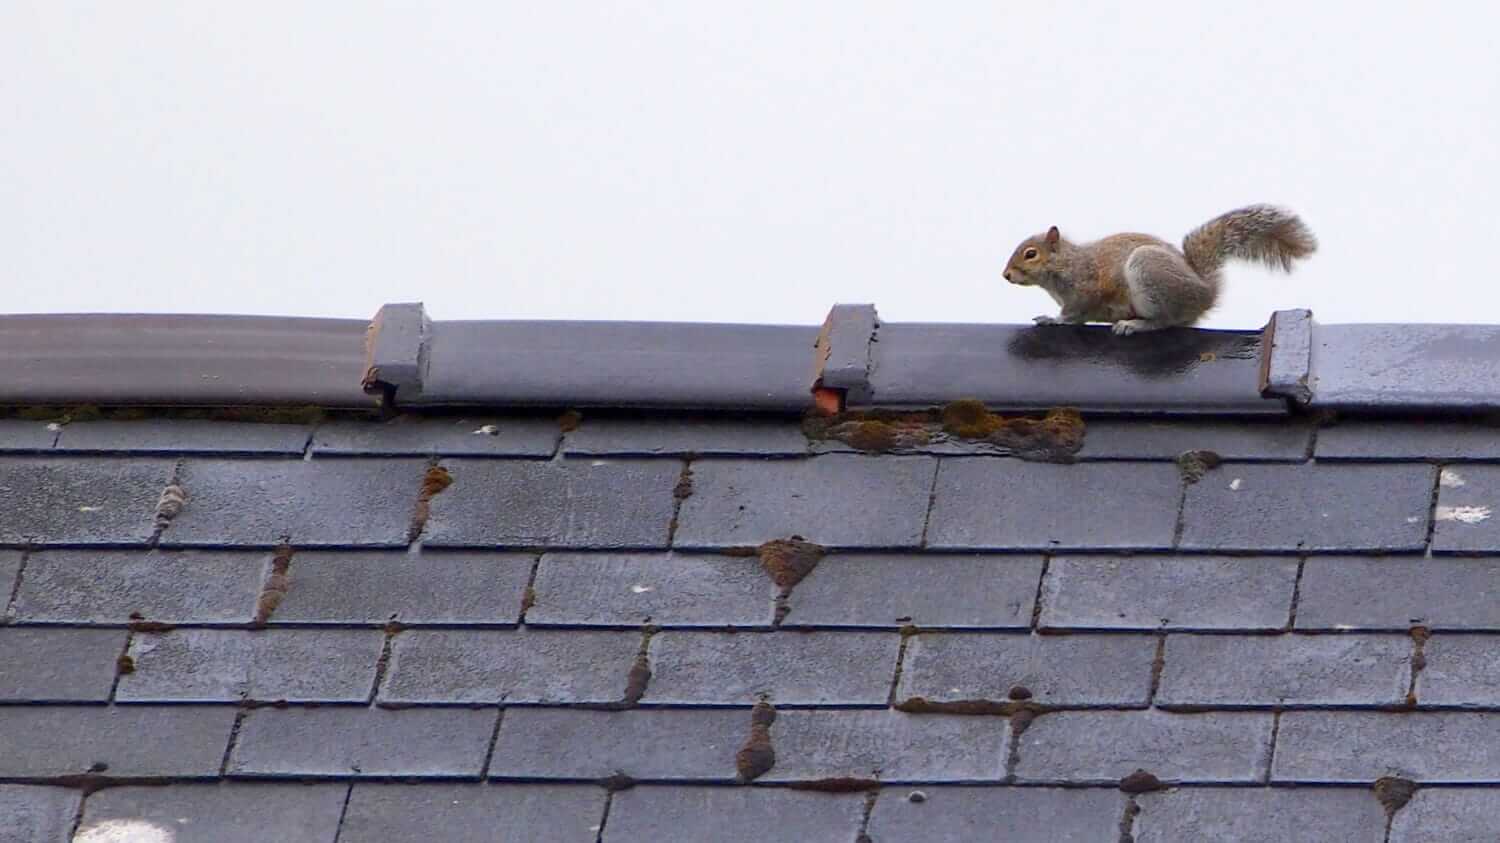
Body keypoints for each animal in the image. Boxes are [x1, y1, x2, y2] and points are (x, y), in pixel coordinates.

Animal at [1002, 204, 1317, 335]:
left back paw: (1135, 325)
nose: (1006, 275)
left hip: (1149, 275)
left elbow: (1072, 314)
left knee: (1165, 321)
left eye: (1031, 254)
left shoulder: (1086, 289)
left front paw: (1052, 319)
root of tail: (1205, 293)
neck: (1066, 264)